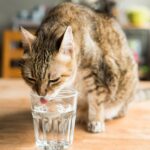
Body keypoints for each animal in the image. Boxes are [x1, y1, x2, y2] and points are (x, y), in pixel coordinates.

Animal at [20, 2, 138, 133]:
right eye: (31, 79)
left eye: (54, 80)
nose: (41, 95)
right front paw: (53, 119)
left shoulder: (97, 72)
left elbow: (96, 99)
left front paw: (96, 120)